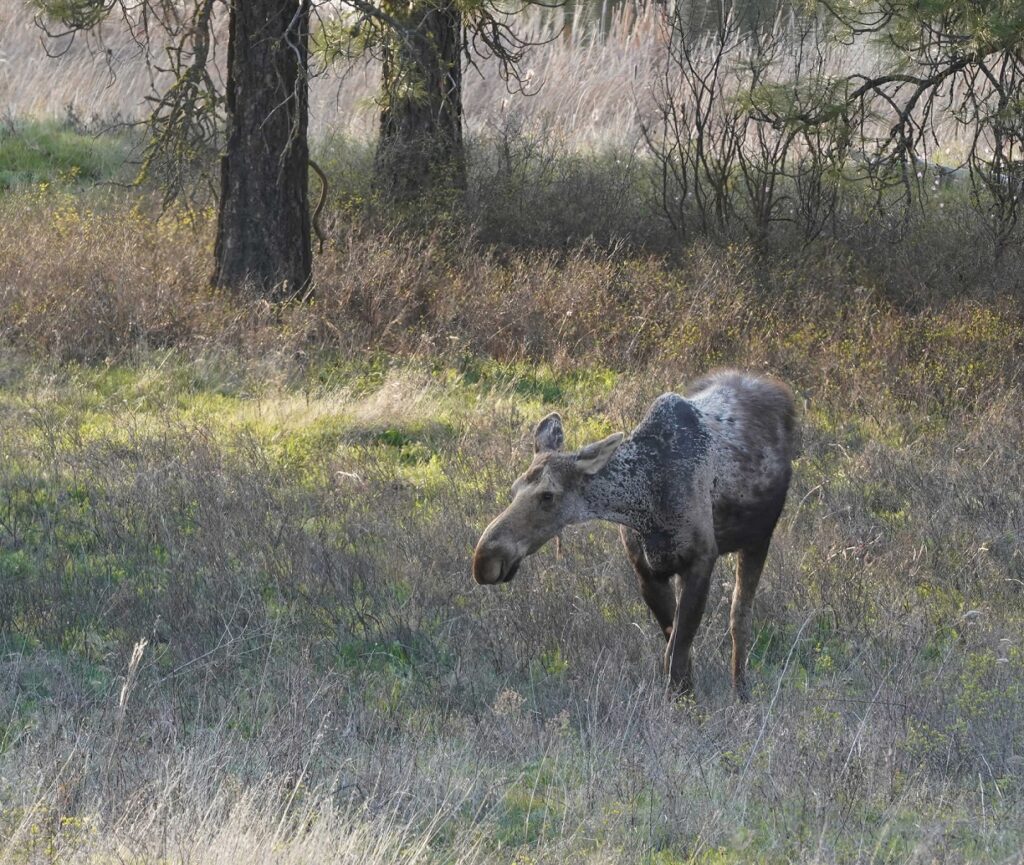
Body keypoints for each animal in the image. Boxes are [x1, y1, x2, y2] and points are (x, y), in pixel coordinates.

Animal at [473, 368, 798, 700]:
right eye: (514, 489)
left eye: (548, 495)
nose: (485, 558)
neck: (645, 504)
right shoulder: (647, 572)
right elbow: (677, 654)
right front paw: (686, 700)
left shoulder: (701, 560)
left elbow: (676, 655)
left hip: (759, 538)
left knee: (739, 618)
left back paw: (741, 693)